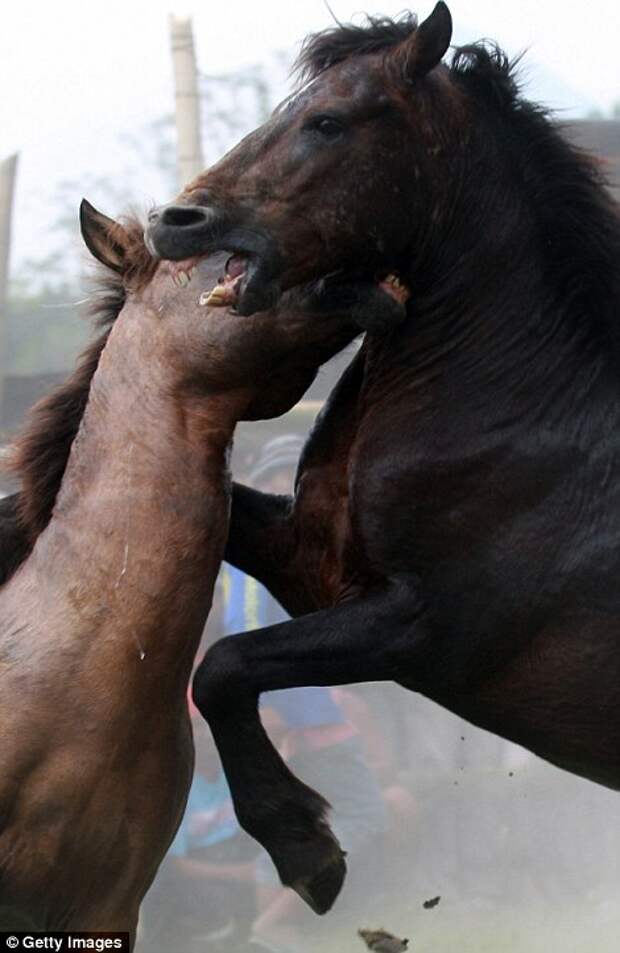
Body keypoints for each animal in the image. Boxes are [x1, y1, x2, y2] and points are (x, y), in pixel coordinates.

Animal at [132, 3, 620, 916]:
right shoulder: (312, 560)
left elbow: (224, 665)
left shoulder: (423, 626)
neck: (521, 407)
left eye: (327, 122)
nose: (173, 220)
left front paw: (305, 847)